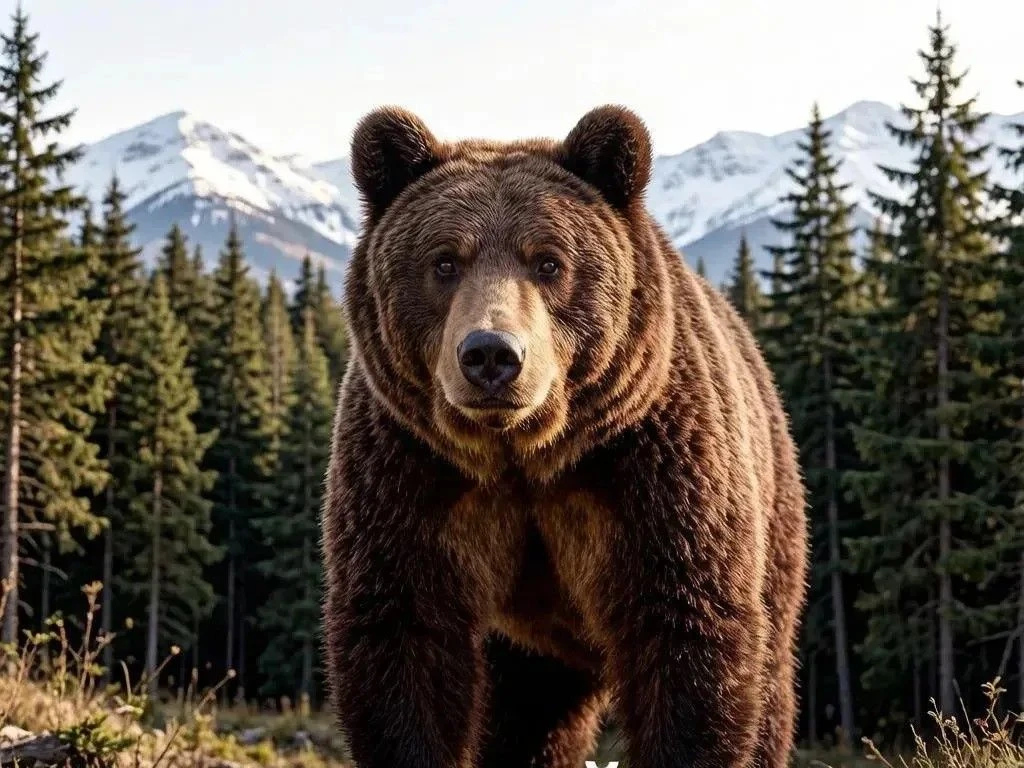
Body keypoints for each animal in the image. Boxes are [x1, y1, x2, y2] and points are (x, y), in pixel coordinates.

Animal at [321, 104, 809, 768]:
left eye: (548, 261)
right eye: (445, 261)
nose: (492, 355)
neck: (523, 456)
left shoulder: (652, 477)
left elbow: (688, 639)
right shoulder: (409, 476)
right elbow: (402, 639)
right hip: (531, 647)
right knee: (529, 720)